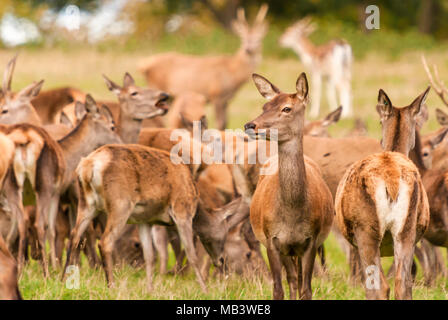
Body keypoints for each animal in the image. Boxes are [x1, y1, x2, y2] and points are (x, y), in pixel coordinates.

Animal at [138, 4, 268, 129]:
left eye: (258, 39)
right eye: (242, 38)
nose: (248, 49)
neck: (233, 72)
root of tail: (144, 66)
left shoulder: (226, 100)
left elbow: (225, 122)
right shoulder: (216, 94)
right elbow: (220, 123)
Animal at [243, 72, 334, 300]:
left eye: (287, 108)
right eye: (264, 106)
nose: (250, 125)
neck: (292, 216)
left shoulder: (311, 240)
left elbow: (306, 289)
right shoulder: (272, 240)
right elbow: (278, 289)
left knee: (297, 279)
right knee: (292, 279)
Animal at [336, 87, 430, 300]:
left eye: (379, 121)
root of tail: (391, 180)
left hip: (365, 229)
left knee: (377, 287)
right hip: (407, 228)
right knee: (402, 283)